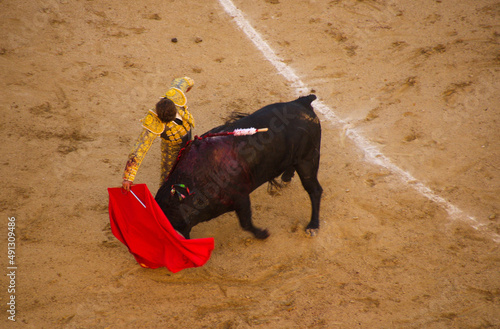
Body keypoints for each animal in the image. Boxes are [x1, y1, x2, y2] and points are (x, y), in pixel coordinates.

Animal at [154, 94, 322, 238]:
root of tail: (302, 102)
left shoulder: (241, 197)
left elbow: (245, 222)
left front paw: (262, 234)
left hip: (308, 160)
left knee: (315, 190)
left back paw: (313, 226)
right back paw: (286, 177)